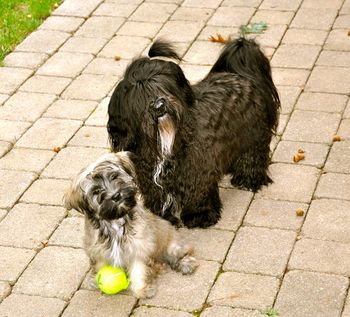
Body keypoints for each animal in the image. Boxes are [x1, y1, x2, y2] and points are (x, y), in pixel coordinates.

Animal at [63, 152, 197, 298]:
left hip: (171, 243)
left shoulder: (138, 247)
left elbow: (138, 269)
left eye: (115, 176)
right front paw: (96, 280)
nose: (116, 196)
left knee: (181, 251)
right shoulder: (97, 250)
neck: (116, 221)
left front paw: (141, 289)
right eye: (97, 191)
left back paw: (185, 263)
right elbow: (100, 265)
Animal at [108, 37, 280, 227]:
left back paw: (249, 180)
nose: (159, 106)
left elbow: (198, 195)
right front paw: (163, 217)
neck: (163, 140)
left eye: (162, 86)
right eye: (140, 95)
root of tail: (242, 75)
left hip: (253, 137)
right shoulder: (150, 179)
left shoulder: (198, 172)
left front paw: (200, 216)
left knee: (253, 157)